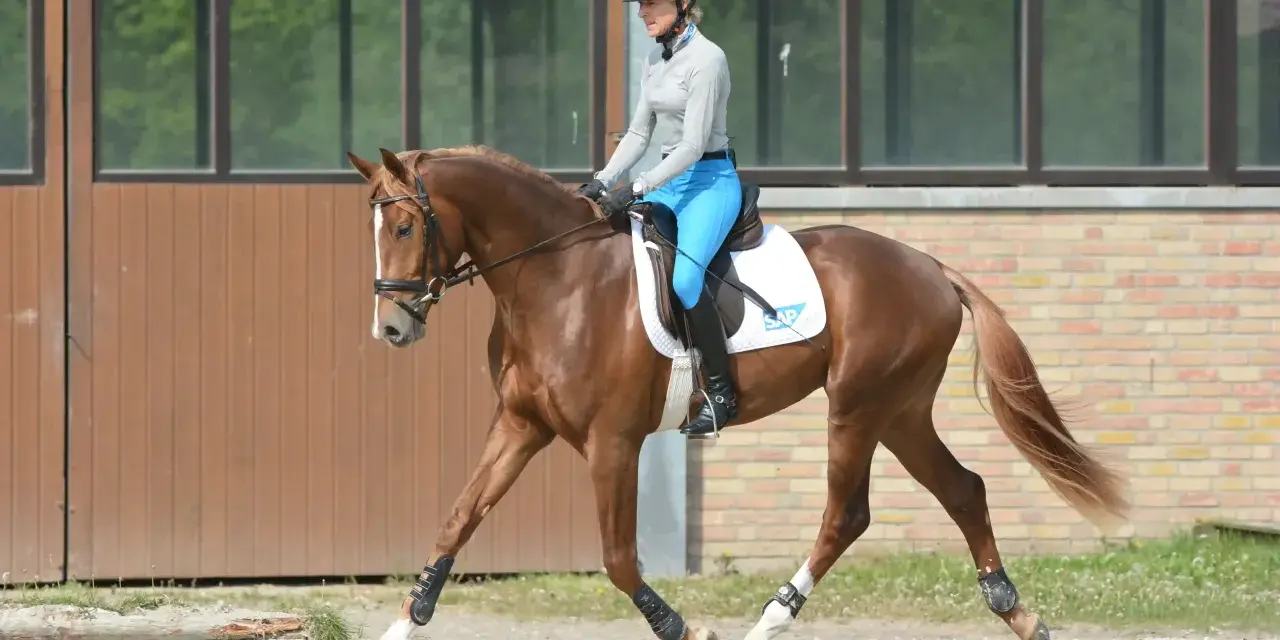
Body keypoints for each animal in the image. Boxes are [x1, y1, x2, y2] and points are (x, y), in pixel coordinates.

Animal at [346, 146, 1128, 640]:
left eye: (407, 224)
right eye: (376, 229)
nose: (390, 327)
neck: (553, 279)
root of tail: (931, 266)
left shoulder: (612, 442)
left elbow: (619, 558)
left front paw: (685, 627)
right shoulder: (519, 425)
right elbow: (457, 520)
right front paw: (403, 620)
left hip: (858, 408)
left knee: (846, 515)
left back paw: (771, 618)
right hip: (901, 412)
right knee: (964, 489)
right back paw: (1018, 613)